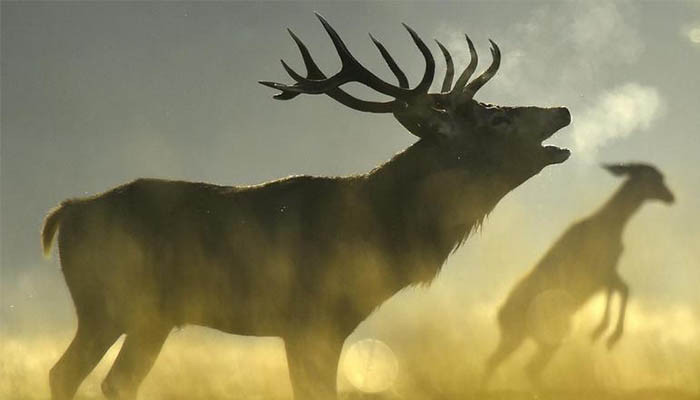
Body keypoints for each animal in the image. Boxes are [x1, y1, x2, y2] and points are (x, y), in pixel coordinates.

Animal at [42, 13, 571, 400]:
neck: (380, 233)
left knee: (114, 381)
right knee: (65, 373)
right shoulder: (310, 321)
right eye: (497, 120)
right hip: (104, 303)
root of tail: (66, 212)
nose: (562, 111)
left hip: (152, 317)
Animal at [481, 163, 675, 390]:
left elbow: (622, 289)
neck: (614, 224)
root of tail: (499, 315)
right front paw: (605, 334)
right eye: (655, 177)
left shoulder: (608, 272)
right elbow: (621, 289)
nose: (671, 197)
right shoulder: (600, 272)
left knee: (509, 364)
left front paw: (604, 333)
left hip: (528, 337)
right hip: (538, 335)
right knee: (522, 366)